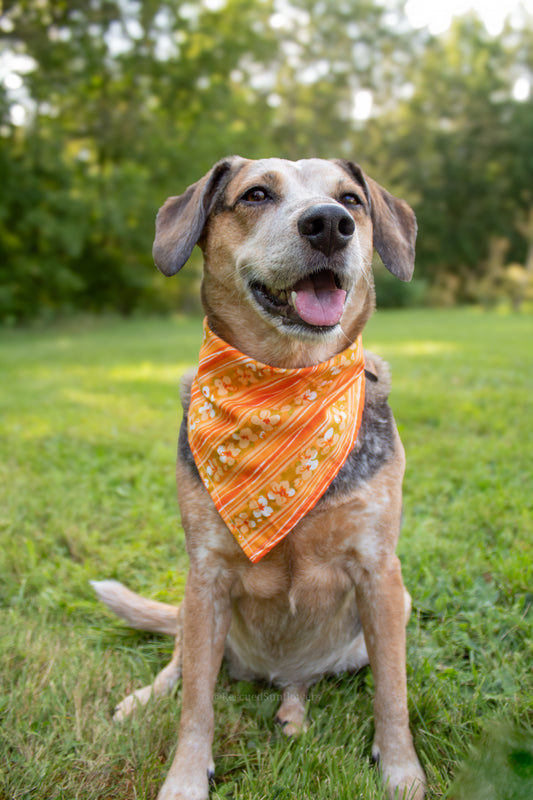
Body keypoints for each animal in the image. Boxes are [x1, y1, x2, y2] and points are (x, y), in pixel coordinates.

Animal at [90, 158, 424, 800]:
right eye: (256, 194)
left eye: (351, 199)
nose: (330, 224)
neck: (287, 384)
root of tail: (269, 671)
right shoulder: (206, 574)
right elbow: (196, 704)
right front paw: (186, 777)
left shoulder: (380, 573)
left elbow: (392, 695)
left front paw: (401, 771)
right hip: (196, 613)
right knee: (180, 662)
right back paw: (147, 698)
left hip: (393, 611)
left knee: (303, 680)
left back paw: (293, 711)